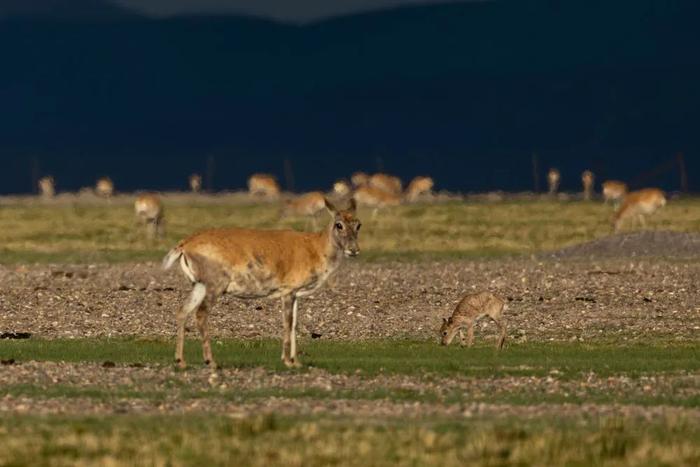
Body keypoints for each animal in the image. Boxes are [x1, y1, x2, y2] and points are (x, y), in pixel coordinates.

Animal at [164, 197, 360, 370]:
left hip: (199, 286)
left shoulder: (296, 294)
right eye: (339, 224)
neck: (315, 248)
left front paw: (296, 362)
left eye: (358, 224)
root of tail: (184, 245)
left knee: (182, 311)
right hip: (214, 286)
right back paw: (211, 362)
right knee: (201, 314)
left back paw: (181, 361)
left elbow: (295, 324)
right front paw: (287, 361)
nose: (354, 250)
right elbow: (287, 323)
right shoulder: (288, 291)